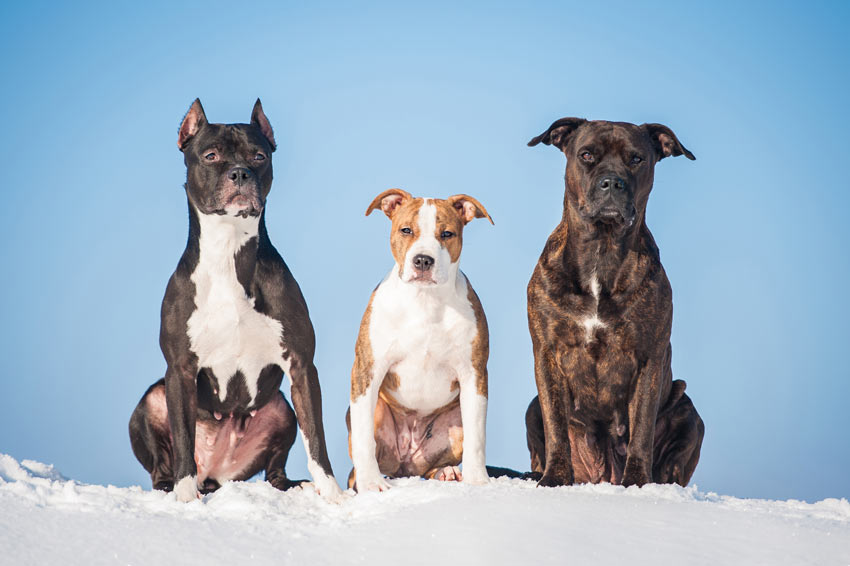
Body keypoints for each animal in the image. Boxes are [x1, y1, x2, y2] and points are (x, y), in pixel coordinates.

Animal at [127, 100, 340, 504]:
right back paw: (171, 487)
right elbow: (182, 438)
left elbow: (317, 437)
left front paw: (333, 493)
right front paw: (185, 497)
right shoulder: (179, 370)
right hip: (152, 400)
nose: (240, 173)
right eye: (210, 155)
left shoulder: (302, 367)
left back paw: (295, 484)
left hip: (281, 411)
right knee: (164, 463)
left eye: (259, 156)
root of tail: (215, 472)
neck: (228, 251)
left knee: (275, 470)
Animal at [342, 191, 490, 492]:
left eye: (447, 233)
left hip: (453, 422)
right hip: (376, 411)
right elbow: (363, 438)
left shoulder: (474, 373)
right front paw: (370, 484)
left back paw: (447, 472)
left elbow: (477, 436)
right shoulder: (366, 371)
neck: (425, 300)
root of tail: (405, 465)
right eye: (406, 230)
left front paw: (477, 479)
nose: (423, 260)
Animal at [524, 118, 704, 488]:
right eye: (586, 154)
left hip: (688, 410)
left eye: (636, 159)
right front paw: (554, 477)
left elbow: (641, 429)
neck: (601, 250)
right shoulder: (546, 354)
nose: (612, 182)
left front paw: (636, 481)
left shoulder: (649, 357)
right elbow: (555, 426)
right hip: (531, 407)